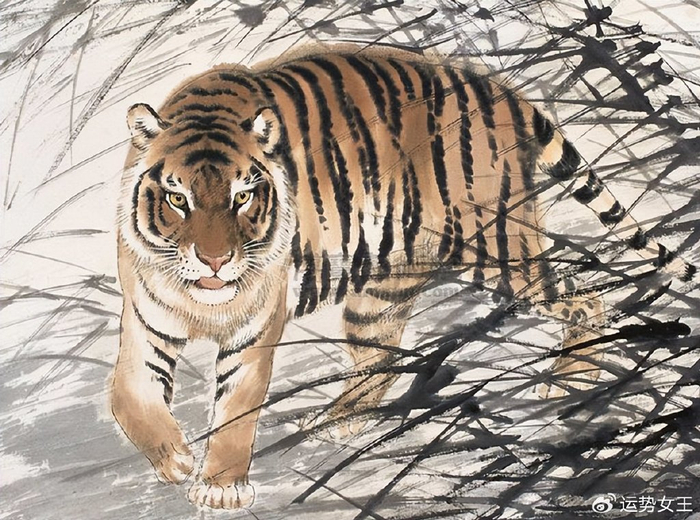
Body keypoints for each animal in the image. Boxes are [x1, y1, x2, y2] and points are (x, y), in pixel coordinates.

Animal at [112, 44, 694, 510]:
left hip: (497, 247)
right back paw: (334, 421)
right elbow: (128, 395)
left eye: (243, 196)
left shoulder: (254, 332)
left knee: (586, 297)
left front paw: (219, 487)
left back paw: (567, 381)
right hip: (384, 289)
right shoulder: (145, 318)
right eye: (177, 199)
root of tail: (497, 88)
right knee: (381, 361)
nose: (215, 261)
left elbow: (236, 408)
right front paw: (174, 459)